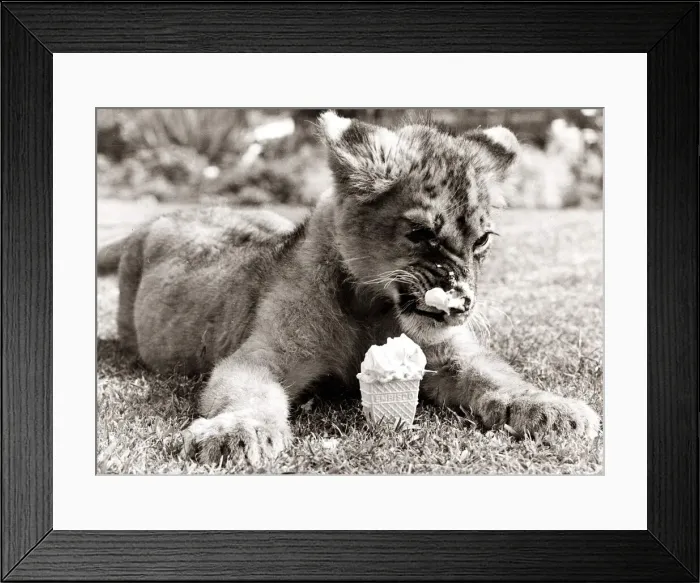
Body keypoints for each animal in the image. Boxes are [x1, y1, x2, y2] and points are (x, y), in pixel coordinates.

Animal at [97, 111, 600, 466]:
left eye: (481, 241)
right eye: (420, 234)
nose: (462, 305)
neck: (371, 309)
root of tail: (165, 214)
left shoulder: (451, 354)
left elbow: (498, 376)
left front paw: (555, 409)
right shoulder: (259, 356)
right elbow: (248, 394)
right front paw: (234, 433)